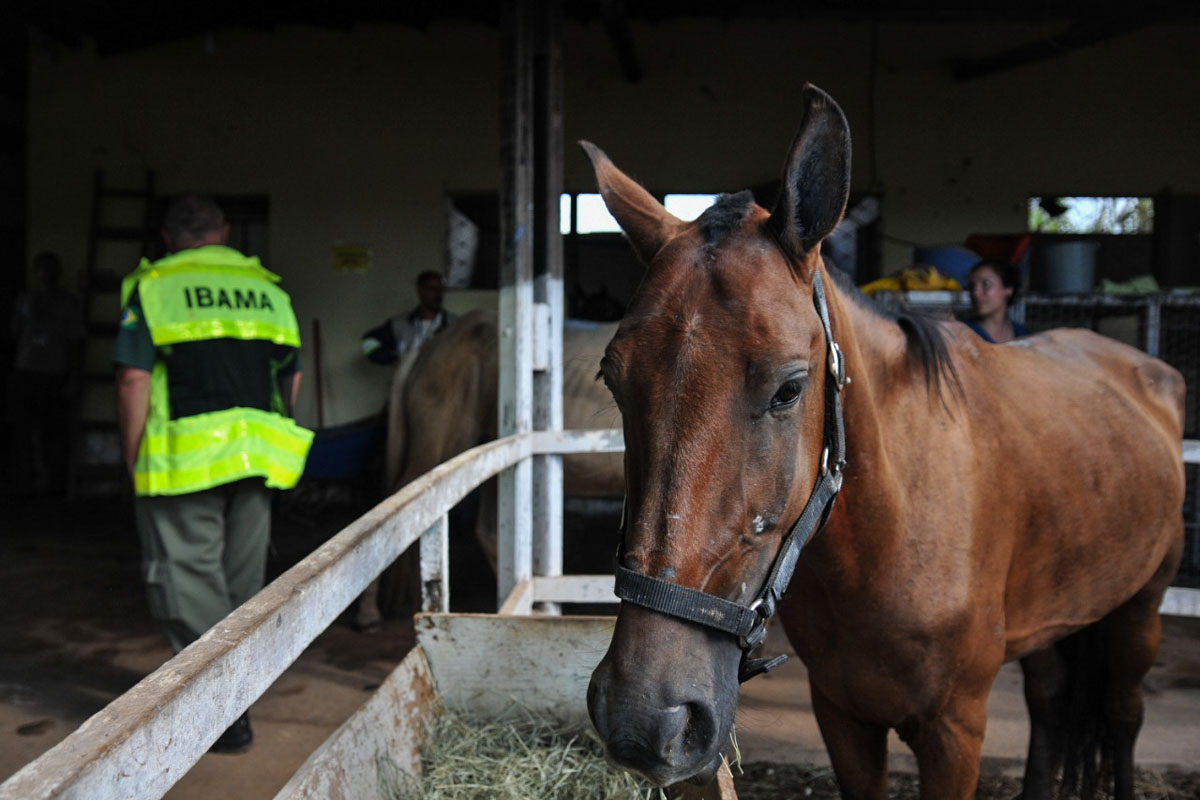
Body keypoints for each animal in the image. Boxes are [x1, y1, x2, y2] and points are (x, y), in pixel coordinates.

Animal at [580, 82, 1180, 800]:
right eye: (614, 379)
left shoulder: (955, 731)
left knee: (1122, 714)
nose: (644, 716)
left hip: (1141, 608)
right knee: (1051, 701)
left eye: (789, 388)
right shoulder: (842, 716)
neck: (889, 531)